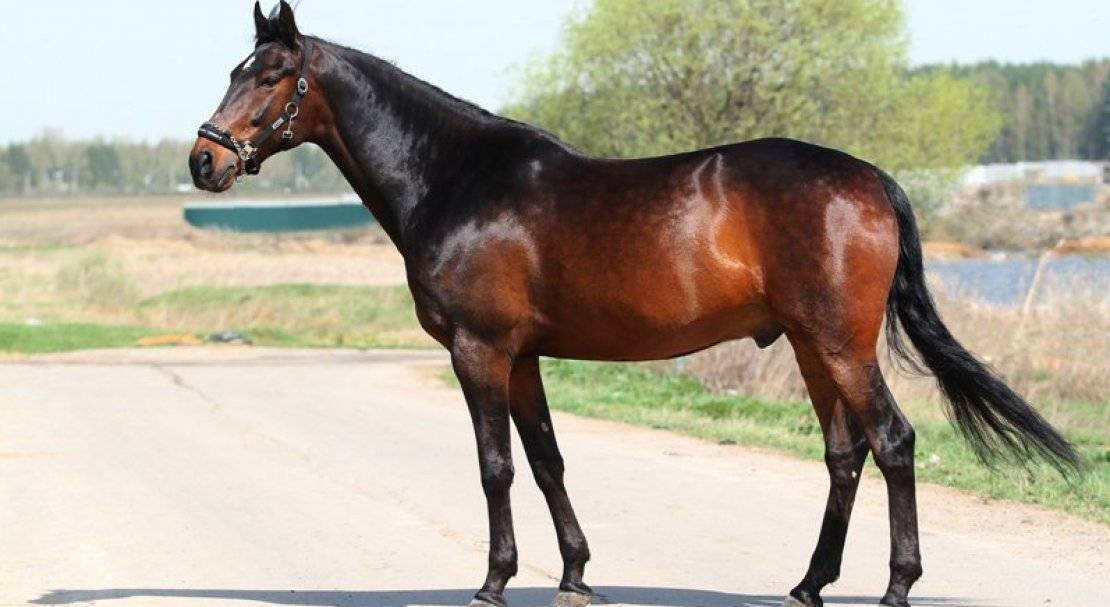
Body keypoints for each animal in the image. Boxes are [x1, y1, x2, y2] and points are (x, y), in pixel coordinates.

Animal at [188, 4, 1079, 607]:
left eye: (268, 76)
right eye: (233, 70)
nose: (204, 160)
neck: (457, 178)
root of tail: (871, 179)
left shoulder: (480, 348)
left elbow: (495, 465)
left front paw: (494, 579)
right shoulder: (523, 356)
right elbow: (545, 459)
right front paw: (576, 573)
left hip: (840, 342)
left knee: (892, 441)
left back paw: (897, 584)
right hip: (809, 344)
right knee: (844, 453)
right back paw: (808, 581)